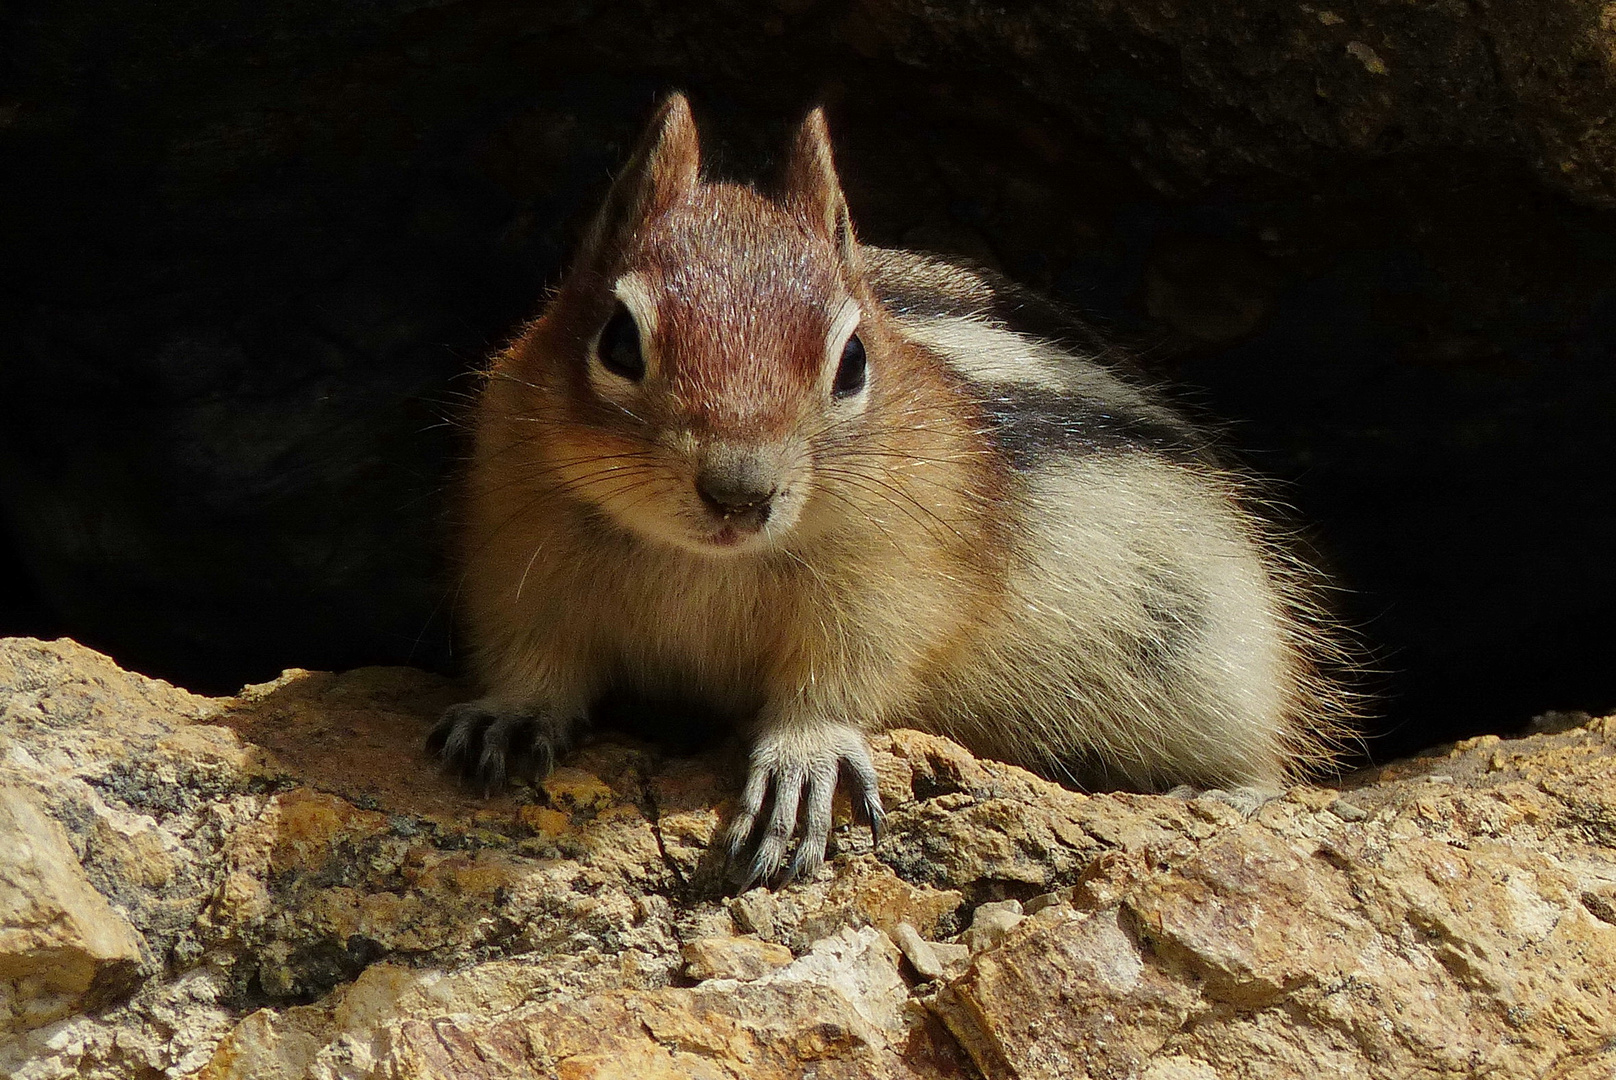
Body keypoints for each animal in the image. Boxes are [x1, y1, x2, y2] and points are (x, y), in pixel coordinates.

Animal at [429, 92, 1350, 885]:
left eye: (852, 362)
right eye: (619, 341)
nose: (740, 492)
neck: (703, 562)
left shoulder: (895, 576)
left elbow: (848, 673)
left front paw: (805, 754)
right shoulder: (518, 541)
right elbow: (535, 650)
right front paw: (509, 712)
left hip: (1214, 658)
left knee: (1268, 756)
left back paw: (1225, 792)